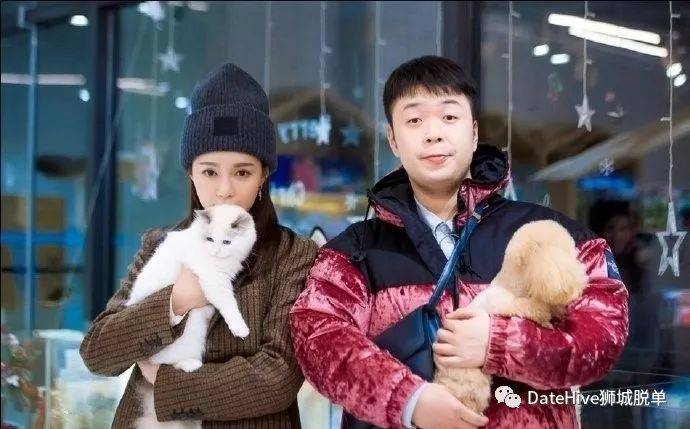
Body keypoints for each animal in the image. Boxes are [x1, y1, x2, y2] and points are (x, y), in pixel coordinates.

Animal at [124, 203, 257, 429]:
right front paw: (240, 329)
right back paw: (191, 365)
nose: (216, 250)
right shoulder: (214, 281)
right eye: (210, 239)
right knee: (166, 363)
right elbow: (230, 306)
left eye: (227, 242)